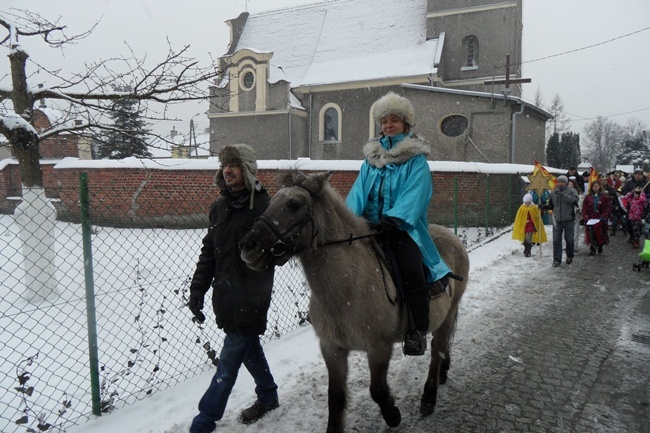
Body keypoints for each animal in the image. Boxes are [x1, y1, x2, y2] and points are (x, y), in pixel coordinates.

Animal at [238, 171, 466, 432]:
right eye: (272, 201)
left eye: (293, 204)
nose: (247, 246)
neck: (347, 288)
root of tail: (453, 237)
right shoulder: (332, 349)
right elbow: (335, 397)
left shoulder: (379, 347)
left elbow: (377, 390)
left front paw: (393, 415)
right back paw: (443, 374)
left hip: (447, 317)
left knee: (437, 352)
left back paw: (429, 397)